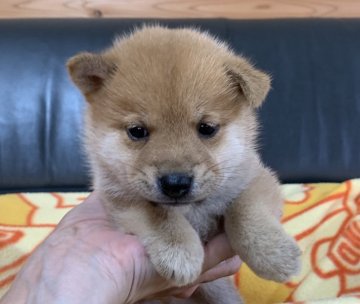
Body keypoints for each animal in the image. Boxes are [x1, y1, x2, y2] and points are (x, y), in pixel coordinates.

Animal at [67, 26, 300, 304]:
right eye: (137, 131)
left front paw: (274, 253)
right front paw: (179, 252)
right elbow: (158, 216)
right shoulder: (119, 195)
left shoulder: (254, 177)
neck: (192, 210)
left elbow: (247, 209)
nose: (175, 183)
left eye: (206, 128)